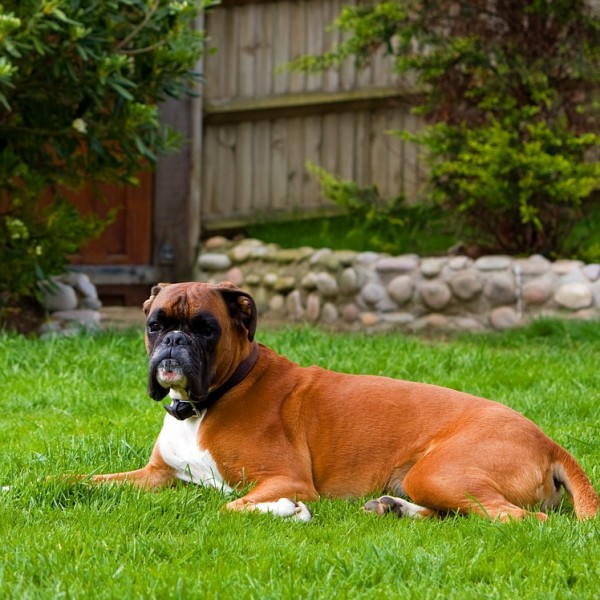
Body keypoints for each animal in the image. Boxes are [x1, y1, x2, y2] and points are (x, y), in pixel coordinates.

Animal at [88, 282, 596, 520]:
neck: (208, 401)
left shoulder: (285, 479)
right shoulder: (156, 475)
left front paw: (286, 511)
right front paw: (69, 485)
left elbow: (229, 506)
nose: (174, 341)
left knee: (519, 520)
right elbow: (89, 481)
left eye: (205, 328)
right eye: (155, 324)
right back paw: (394, 508)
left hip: (440, 472)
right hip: (427, 480)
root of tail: (547, 440)